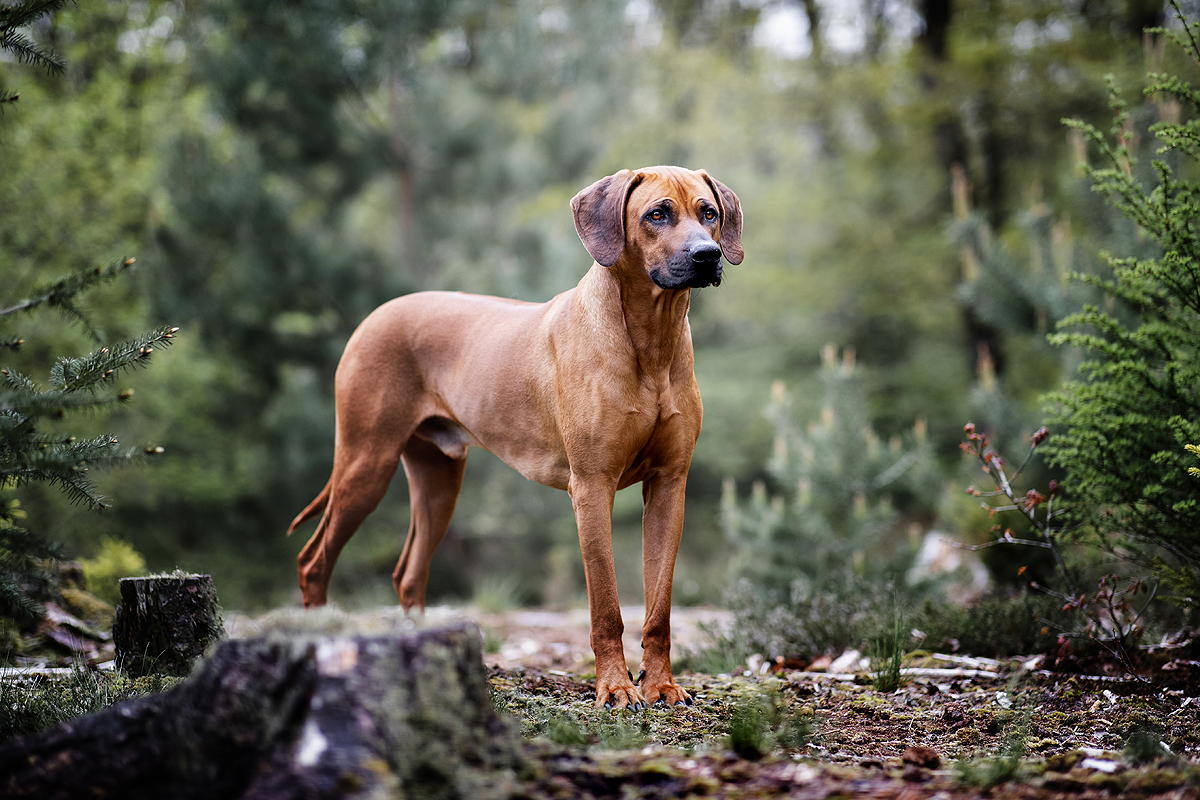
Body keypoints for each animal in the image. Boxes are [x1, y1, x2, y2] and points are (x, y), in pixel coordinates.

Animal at [288, 164, 739, 705]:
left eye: (708, 213)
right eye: (657, 214)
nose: (708, 255)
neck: (650, 340)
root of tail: (377, 314)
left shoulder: (670, 483)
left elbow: (660, 607)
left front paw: (662, 685)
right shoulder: (591, 486)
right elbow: (606, 606)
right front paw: (614, 687)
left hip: (439, 481)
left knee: (408, 573)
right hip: (365, 463)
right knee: (314, 561)